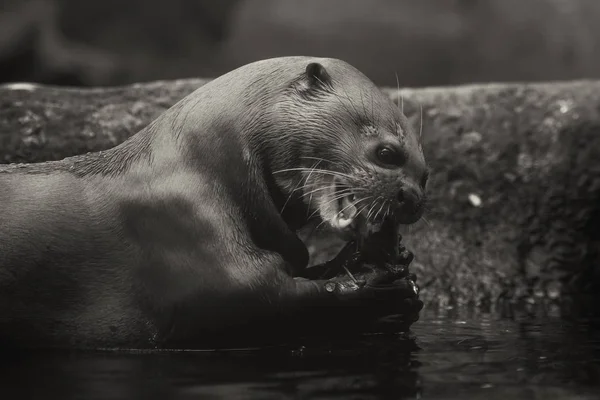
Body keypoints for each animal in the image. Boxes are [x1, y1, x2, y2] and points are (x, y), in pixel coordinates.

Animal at [2, 57, 428, 350]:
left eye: (425, 175)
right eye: (387, 153)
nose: (413, 198)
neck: (210, 164)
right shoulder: (186, 228)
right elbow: (267, 296)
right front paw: (380, 292)